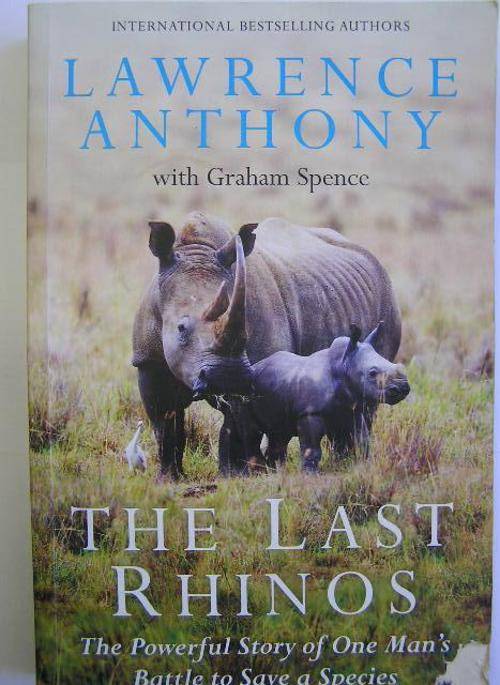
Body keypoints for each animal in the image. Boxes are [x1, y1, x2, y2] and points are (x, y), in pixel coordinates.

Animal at [192, 320, 410, 471]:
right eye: (372, 373)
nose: (403, 387)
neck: (343, 365)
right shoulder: (310, 413)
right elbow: (311, 448)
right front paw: (310, 474)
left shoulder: (352, 409)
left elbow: (360, 440)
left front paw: (358, 467)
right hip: (243, 395)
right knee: (251, 431)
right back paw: (256, 472)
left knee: (278, 434)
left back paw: (274, 471)